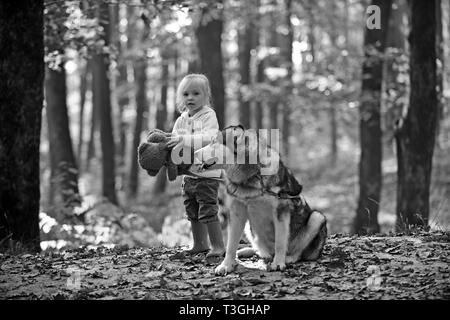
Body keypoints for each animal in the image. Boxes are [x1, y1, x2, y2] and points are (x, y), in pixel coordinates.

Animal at [193, 125, 326, 276]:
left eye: (214, 142)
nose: (194, 153)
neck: (252, 175)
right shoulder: (237, 212)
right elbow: (231, 244)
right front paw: (226, 265)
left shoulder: (281, 210)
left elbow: (280, 242)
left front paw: (279, 263)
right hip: (249, 227)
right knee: (261, 251)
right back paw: (248, 251)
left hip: (317, 217)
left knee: (298, 253)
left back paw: (288, 258)